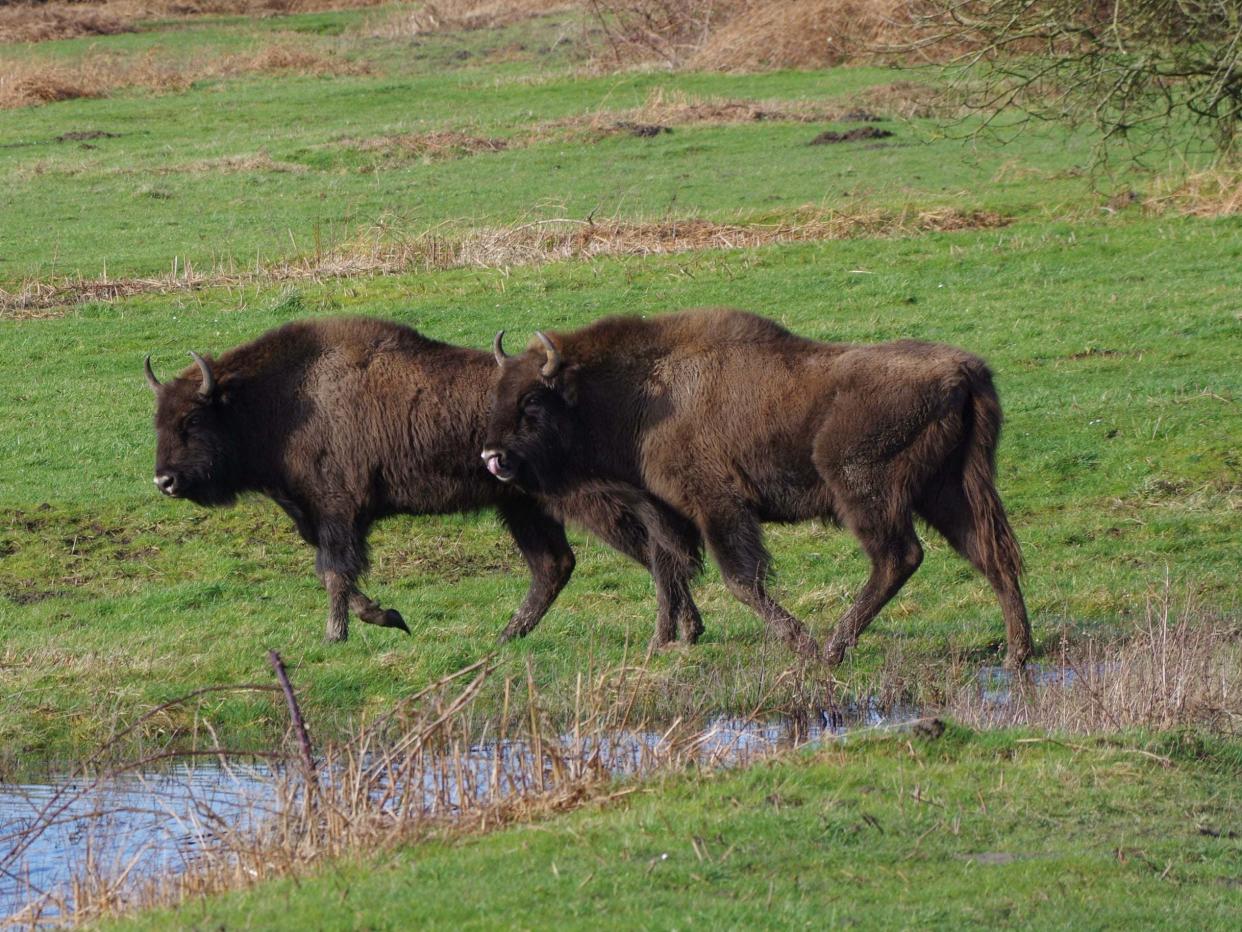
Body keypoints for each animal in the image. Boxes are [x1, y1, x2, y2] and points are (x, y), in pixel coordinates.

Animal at [142, 318, 705, 646]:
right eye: (158, 420)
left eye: (193, 419)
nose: (164, 480)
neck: (280, 399)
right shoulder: (324, 518)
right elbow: (340, 576)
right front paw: (389, 617)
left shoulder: (337, 513)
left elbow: (334, 573)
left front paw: (336, 636)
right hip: (524, 507)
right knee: (557, 565)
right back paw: (509, 635)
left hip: (585, 502)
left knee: (653, 551)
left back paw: (672, 634)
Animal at [479, 310, 1033, 666]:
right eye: (499, 394)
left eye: (532, 401)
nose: (492, 457)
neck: (639, 391)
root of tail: (964, 371)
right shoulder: (664, 512)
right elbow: (667, 572)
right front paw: (662, 644)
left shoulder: (717, 505)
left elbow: (739, 579)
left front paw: (799, 644)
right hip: (949, 492)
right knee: (991, 554)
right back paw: (1017, 653)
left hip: (862, 489)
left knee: (900, 558)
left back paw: (833, 649)